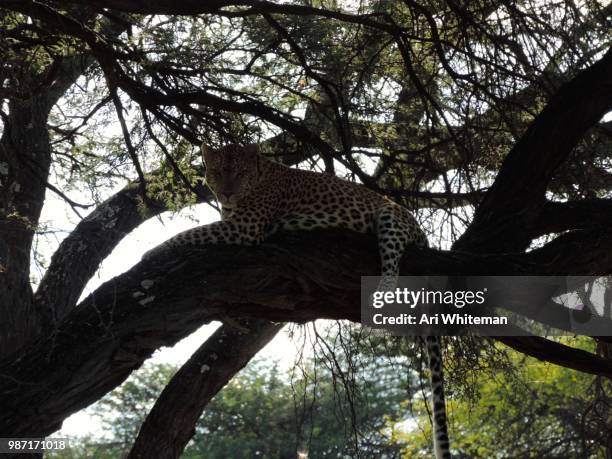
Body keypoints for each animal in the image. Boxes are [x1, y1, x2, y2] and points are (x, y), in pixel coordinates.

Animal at [146, 145, 452, 459]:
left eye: (240, 173)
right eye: (217, 172)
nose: (227, 193)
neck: (258, 177)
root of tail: (420, 229)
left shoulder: (244, 227)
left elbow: (190, 232)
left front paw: (152, 252)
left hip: (389, 217)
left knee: (392, 264)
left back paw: (379, 294)